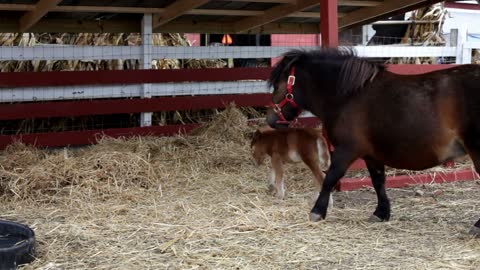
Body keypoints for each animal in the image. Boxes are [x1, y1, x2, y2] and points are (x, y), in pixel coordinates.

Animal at [266, 48, 480, 236]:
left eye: (278, 85)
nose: (270, 120)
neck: (349, 96)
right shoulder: (371, 155)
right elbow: (378, 182)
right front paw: (381, 213)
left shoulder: (346, 150)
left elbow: (330, 178)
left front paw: (317, 211)